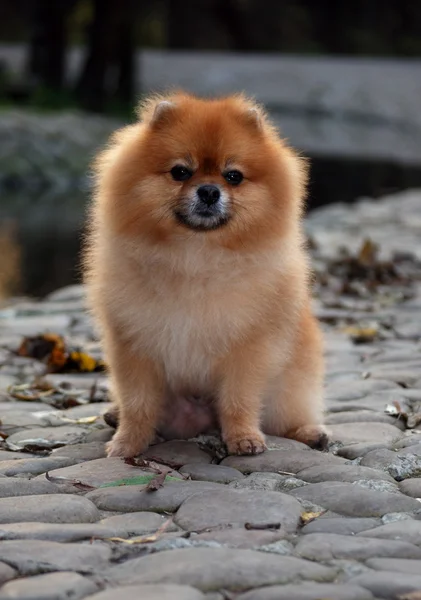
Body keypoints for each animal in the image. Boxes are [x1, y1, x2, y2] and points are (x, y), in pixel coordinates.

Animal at [83, 91, 326, 458]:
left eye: (233, 176)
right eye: (181, 172)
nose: (210, 191)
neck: (196, 256)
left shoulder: (249, 349)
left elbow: (238, 400)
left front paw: (243, 438)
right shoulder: (134, 345)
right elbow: (138, 404)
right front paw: (128, 442)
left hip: (287, 392)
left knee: (286, 419)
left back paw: (310, 433)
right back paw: (115, 417)